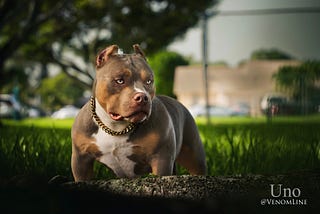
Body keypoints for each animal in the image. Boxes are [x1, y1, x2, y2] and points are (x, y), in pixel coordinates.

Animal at [71, 44, 206, 181]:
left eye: (149, 81)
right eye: (120, 80)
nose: (143, 97)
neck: (116, 127)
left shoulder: (161, 159)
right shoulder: (81, 160)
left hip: (194, 156)